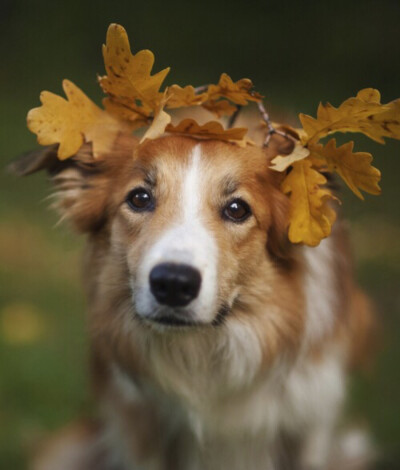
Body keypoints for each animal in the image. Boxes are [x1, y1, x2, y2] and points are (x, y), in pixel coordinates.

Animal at [11, 126, 376, 470]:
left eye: (237, 209)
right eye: (139, 198)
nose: (173, 283)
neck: (203, 355)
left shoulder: (310, 419)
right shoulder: (140, 426)